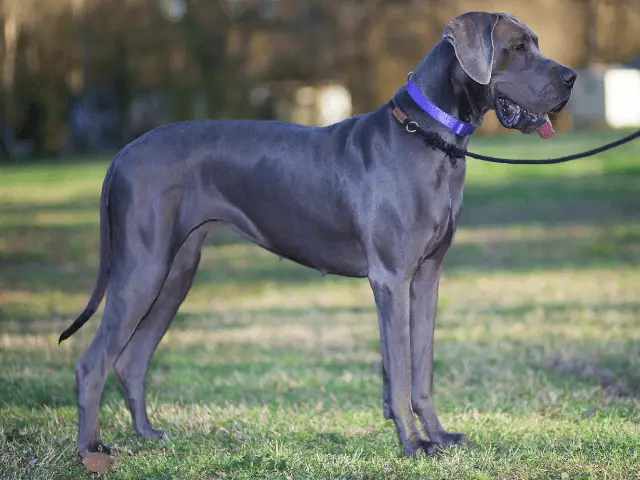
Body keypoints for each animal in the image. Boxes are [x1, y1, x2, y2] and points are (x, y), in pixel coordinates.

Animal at [61, 9, 576, 456]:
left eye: (536, 43)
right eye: (517, 47)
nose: (571, 77)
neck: (431, 136)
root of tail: (122, 154)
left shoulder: (426, 278)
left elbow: (421, 369)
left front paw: (438, 436)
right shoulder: (391, 279)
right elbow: (400, 371)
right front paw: (413, 444)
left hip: (175, 272)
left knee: (130, 360)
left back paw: (147, 435)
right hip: (142, 269)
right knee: (92, 363)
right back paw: (91, 450)